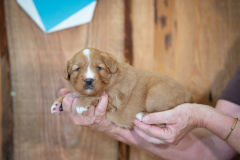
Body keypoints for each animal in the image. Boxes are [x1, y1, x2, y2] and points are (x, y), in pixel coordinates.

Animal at [51, 47, 193, 129]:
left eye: (99, 67)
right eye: (78, 69)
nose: (89, 80)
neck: (111, 80)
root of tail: (189, 95)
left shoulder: (114, 101)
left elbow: (93, 95)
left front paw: (82, 103)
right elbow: (73, 93)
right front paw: (58, 103)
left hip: (154, 94)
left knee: (162, 119)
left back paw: (142, 115)